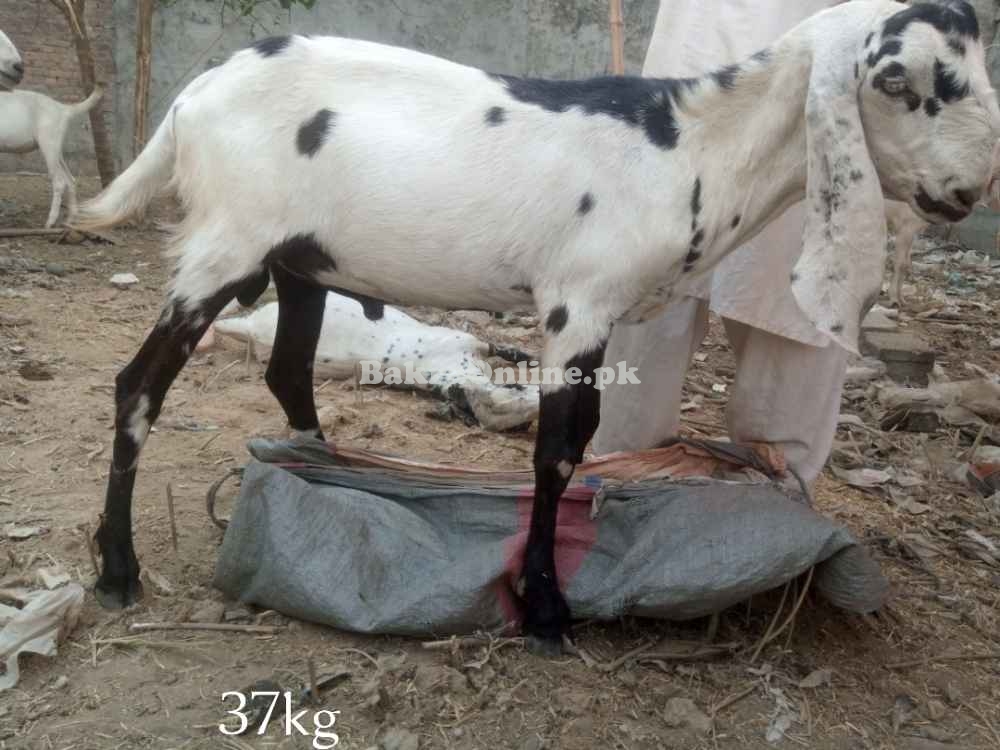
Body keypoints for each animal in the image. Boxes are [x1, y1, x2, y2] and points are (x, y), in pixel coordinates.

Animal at [0, 85, 103, 226]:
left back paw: (50, 221)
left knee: (60, 181)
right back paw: (71, 218)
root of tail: (62, 108)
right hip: (56, 150)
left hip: (48, 144)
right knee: (70, 179)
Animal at [72, 0, 1000, 656]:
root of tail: (191, 98)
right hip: (225, 244)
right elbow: (557, 451)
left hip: (300, 261)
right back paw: (117, 569)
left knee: (287, 370)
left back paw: (324, 470)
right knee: (136, 387)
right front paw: (548, 610)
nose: (971, 189)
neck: (693, 148)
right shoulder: (577, 303)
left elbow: (579, 442)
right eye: (898, 80)